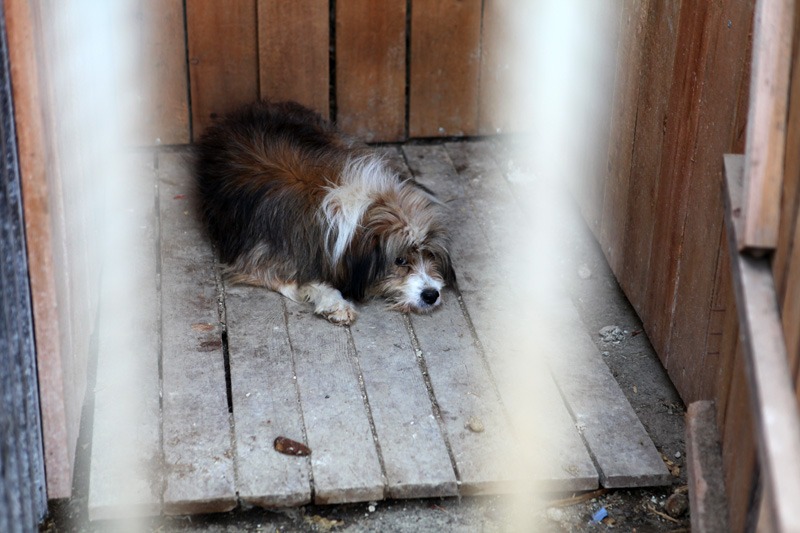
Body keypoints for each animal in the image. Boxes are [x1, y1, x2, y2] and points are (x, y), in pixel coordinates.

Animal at [193, 100, 454, 324]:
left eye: (429, 254)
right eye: (399, 260)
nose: (431, 295)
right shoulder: (257, 259)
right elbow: (297, 280)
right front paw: (334, 302)